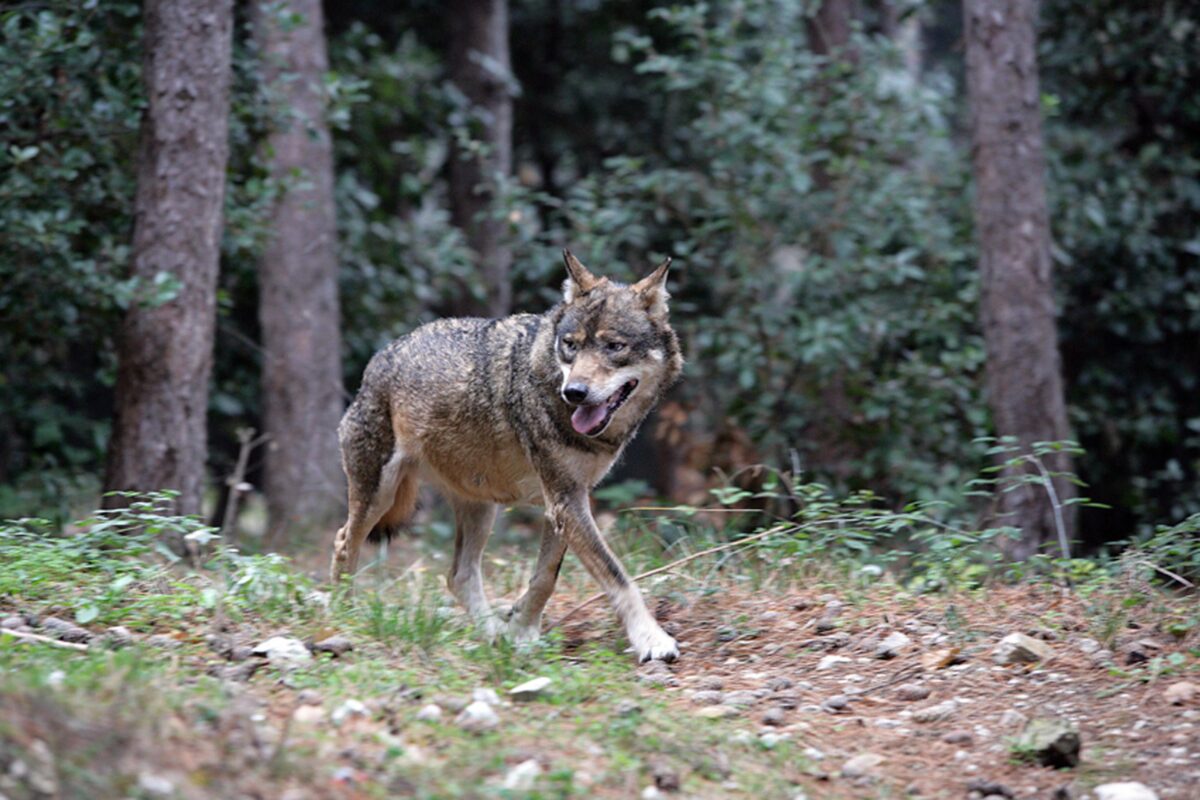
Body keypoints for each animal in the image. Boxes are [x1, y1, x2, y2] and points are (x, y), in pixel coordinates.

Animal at [331, 250, 686, 662]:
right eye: (571, 345)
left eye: (614, 346)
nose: (574, 392)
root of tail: (382, 356)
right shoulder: (565, 501)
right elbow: (617, 575)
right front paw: (652, 639)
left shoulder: (564, 502)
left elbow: (545, 577)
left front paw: (520, 631)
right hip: (380, 496)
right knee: (344, 542)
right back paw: (343, 615)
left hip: (481, 507)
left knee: (459, 575)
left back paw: (492, 636)